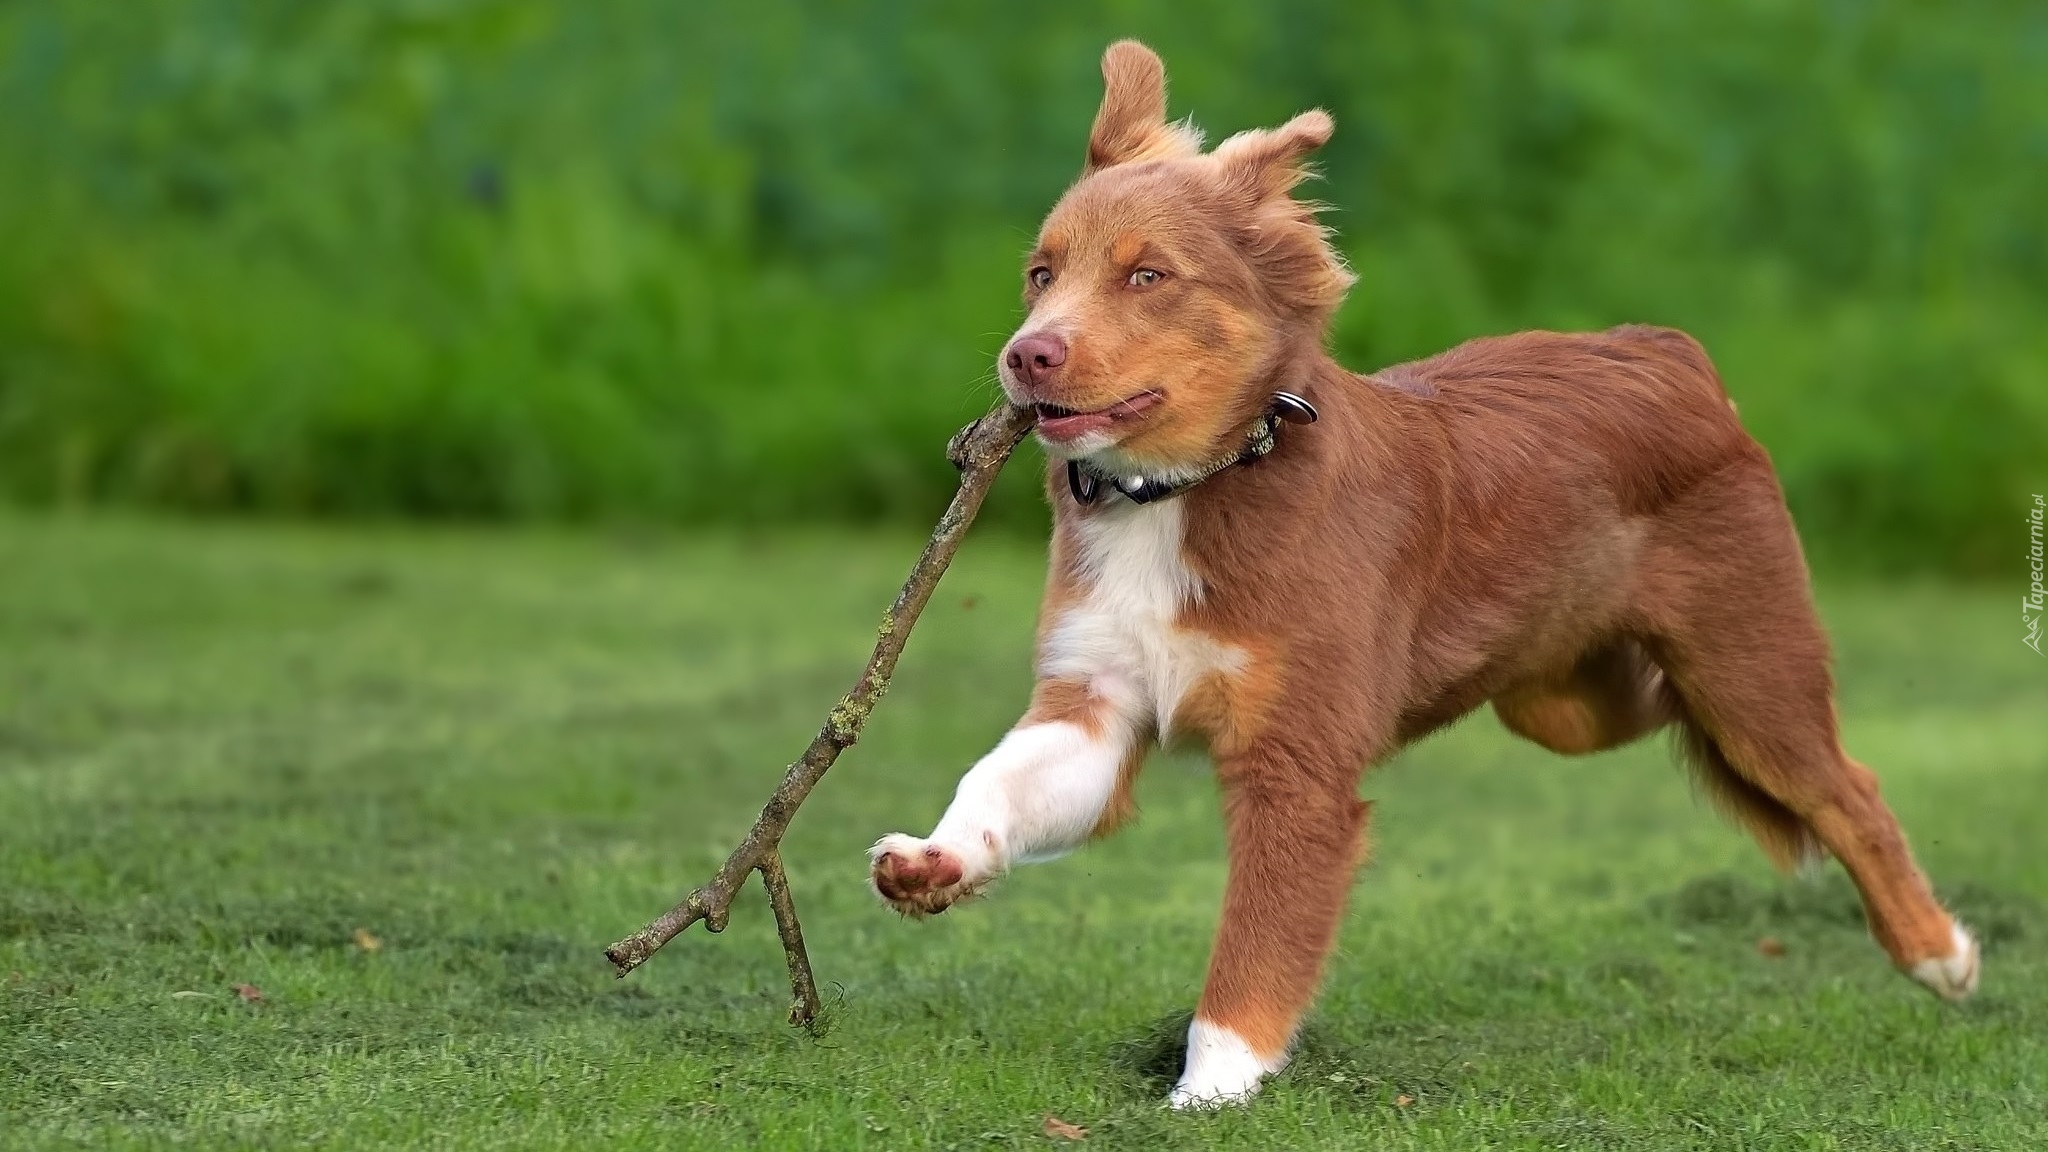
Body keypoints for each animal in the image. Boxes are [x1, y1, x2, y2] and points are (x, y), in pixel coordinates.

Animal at [860, 42, 1966, 1106]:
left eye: (1147, 277)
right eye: (1041, 274)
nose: (1025, 357)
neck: (1184, 492)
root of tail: (1668, 350)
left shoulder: (1295, 770)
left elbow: (1255, 944)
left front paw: (1209, 1088)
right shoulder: (1095, 701)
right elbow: (1000, 777)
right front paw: (938, 859)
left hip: (1745, 673)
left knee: (1845, 785)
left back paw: (1938, 951)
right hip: (1563, 703)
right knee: (1657, 708)